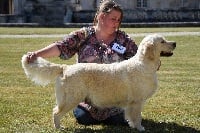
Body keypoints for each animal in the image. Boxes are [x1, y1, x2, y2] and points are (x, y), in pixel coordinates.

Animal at [21, 33, 176, 131]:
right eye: (162, 41)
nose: (174, 43)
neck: (144, 64)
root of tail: (65, 67)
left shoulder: (132, 103)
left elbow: (131, 117)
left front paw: (133, 126)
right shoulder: (137, 101)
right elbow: (137, 117)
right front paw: (140, 128)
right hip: (71, 98)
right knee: (56, 112)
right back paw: (59, 128)